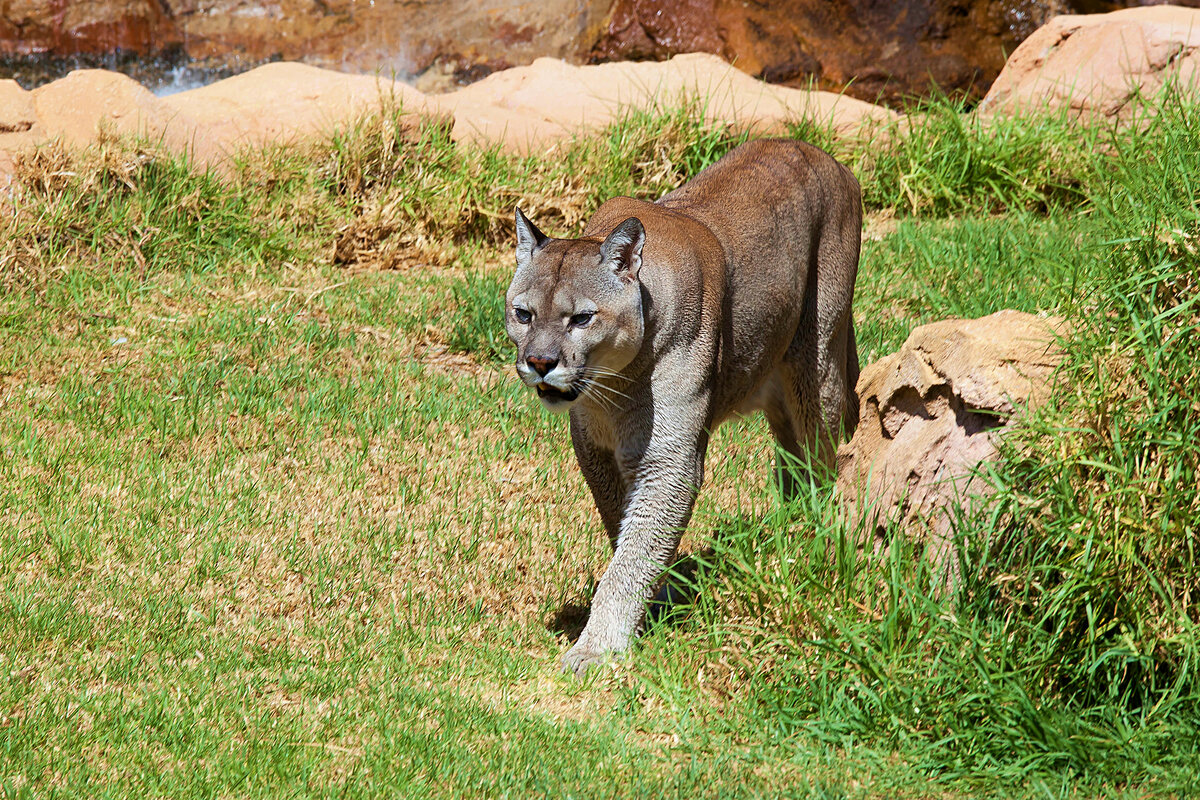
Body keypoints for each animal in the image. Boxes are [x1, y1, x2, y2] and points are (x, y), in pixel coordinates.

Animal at [506, 139, 864, 676]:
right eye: (523, 314)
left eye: (582, 318)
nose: (540, 362)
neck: (617, 387)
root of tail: (822, 153)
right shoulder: (595, 448)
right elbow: (623, 527)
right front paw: (660, 596)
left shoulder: (669, 459)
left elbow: (635, 547)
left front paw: (597, 647)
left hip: (816, 362)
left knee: (824, 455)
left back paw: (814, 529)